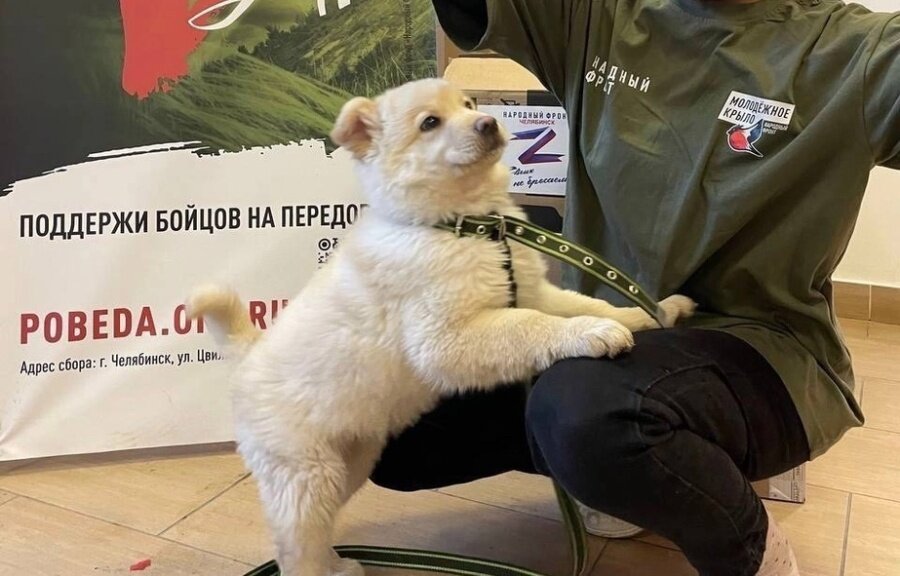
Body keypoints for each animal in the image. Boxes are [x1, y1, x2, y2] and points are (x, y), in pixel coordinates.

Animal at [188, 78, 695, 576]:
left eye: (468, 104)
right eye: (430, 123)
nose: (489, 122)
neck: (471, 226)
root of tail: (247, 355)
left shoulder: (532, 289)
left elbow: (587, 303)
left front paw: (655, 312)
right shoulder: (445, 338)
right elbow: (531, 324)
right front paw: (594, 335)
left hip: (351, 459)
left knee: (313, 534)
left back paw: (338, 563)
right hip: (305, 472)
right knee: (295, 548)